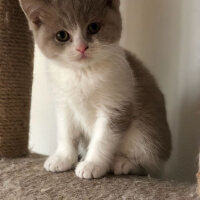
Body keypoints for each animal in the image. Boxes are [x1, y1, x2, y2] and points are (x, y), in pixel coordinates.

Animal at [19, 0, 171, 178]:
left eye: (93, 27)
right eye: (62, 35)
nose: (81, 47)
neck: (83, 73)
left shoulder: (116, 104)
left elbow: (103, 138)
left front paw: (92, 164)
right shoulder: (64, 103)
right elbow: (66, 132)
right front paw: (63, 158)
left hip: (147, 136)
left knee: (149, 165)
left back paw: (124, 163)